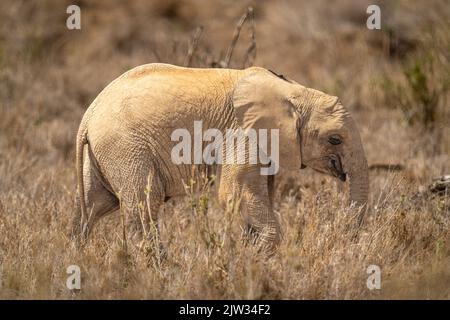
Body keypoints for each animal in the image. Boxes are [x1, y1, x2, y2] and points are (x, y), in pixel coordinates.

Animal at [74, 63, 370, 251]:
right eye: (335, 139)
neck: (293, 91)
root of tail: (87, 116)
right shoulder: (241, 132)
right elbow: (234, 193)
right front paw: (252, 255)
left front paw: (248, 251)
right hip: (125, 148)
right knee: (143, 205)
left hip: (102, 154)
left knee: (93, 206)